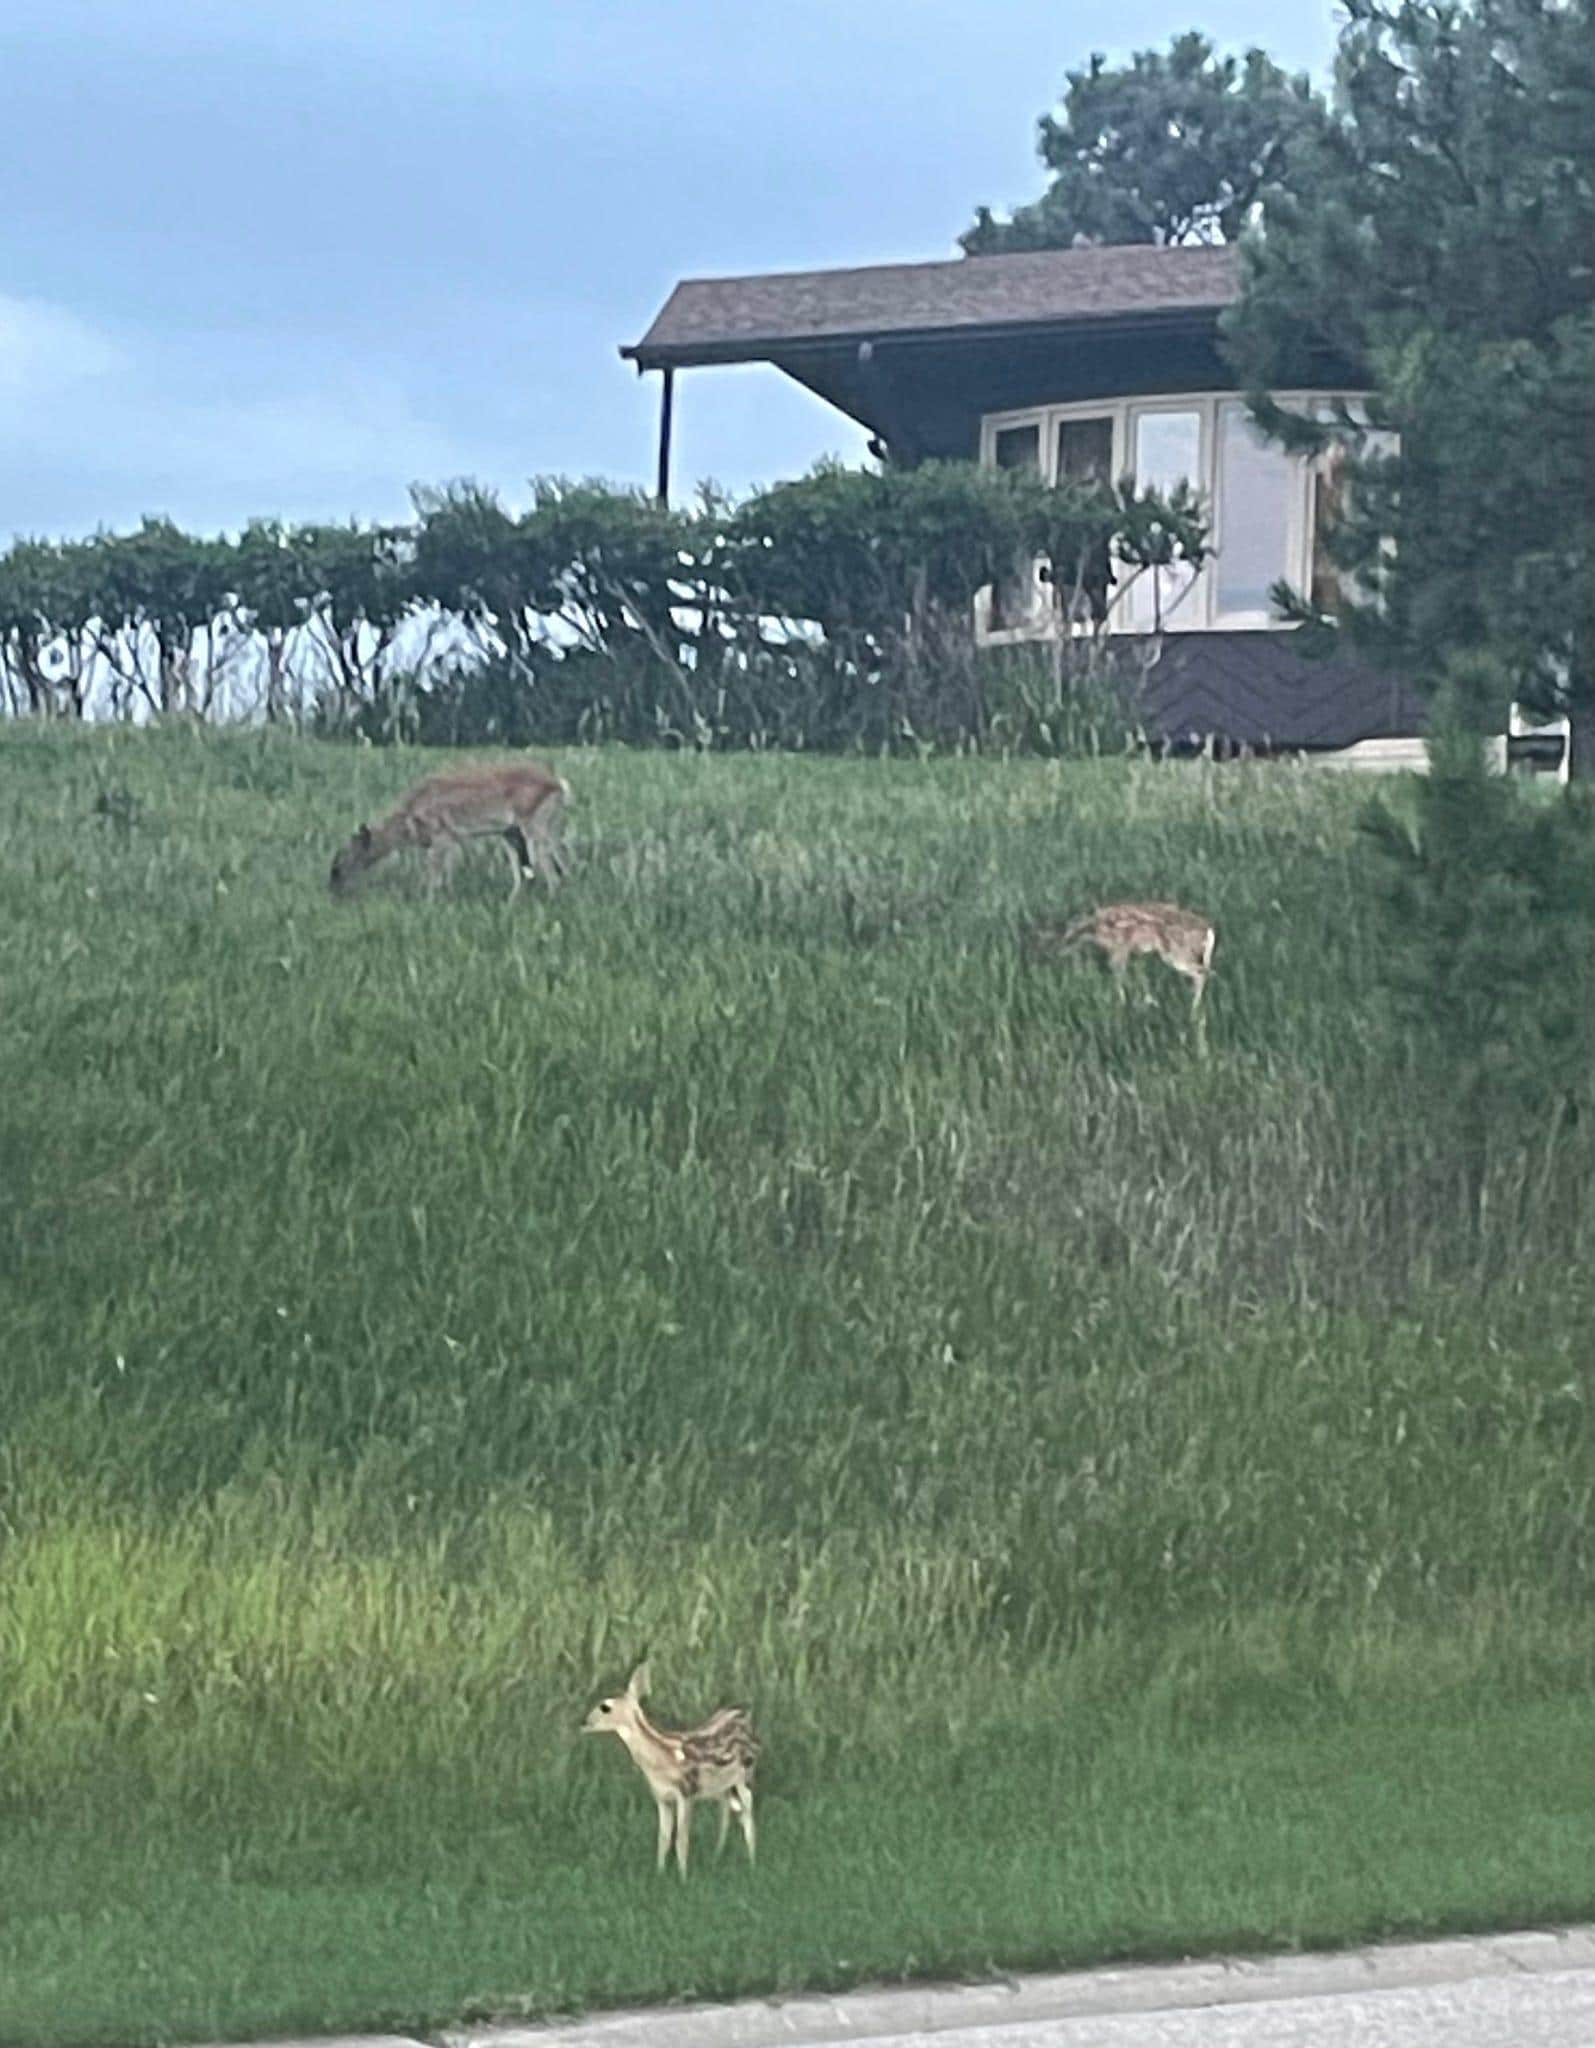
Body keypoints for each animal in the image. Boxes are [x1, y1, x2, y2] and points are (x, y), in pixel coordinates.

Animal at [328, 760, 570, 900]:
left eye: (340, 863)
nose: (333, 890)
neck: (410, 820)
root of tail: (559, 785)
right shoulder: (450, 840)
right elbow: (446, 876)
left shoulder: (441, 835)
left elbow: (434, 878)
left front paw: (428, 903)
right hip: (511, 833)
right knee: (530, 871)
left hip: (534, 824)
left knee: (551, 868)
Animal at [581, 1662, 759, 1877]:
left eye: (605, 1707)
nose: (584, 1722)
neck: (660, 1761)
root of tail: (744, 1715)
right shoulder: (661, 1797)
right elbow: (663, 1838)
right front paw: (660, 1873)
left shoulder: (686, 1792)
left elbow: (681, 1839)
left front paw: (683, 1878)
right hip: (722, 1787)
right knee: (727, 1814)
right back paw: (718, 1857)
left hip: (746, 1776)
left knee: (748, 1819)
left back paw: (752, 1864)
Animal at [1027, 901, 1216, 1009]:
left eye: (1044, 943)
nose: (1035, 958)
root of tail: (1209, 931)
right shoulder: (1134, 954)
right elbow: (1138, 978)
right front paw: (1147, 1001)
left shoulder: (1119, 949)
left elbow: (1118, 976)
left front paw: (1122, 1003)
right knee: (1205, 972)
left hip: (1176, 953)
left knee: (1202, 974)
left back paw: (1193, 1009)